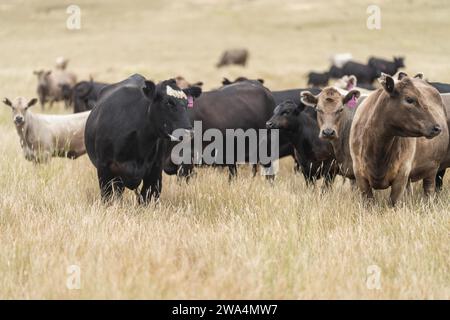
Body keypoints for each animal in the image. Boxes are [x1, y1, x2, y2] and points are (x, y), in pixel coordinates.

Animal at [85, 74, 201, 202]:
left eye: (186, 104)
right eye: (168, 103)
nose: (189, 131)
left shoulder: (155, 171)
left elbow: (146, 198)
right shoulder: (104, 167)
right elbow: (107, 197)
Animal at [350, 75, 448, 205]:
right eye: (409, 99)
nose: (437, 128)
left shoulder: (402, 175)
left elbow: (393, 202)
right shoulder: (359, 175)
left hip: (432, 169)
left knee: (429, 190)